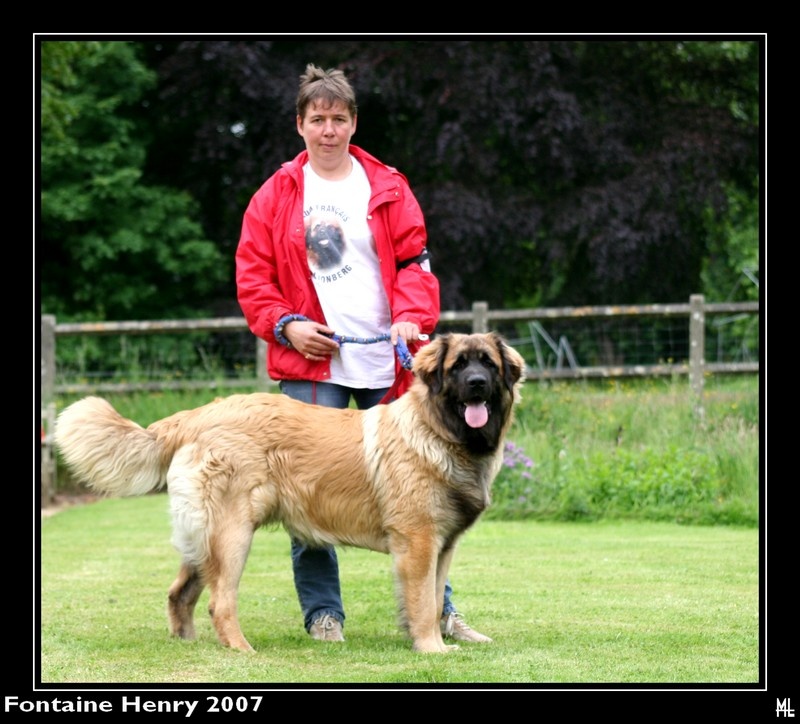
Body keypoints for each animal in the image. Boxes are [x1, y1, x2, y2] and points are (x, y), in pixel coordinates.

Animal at [54, 334, 524, 656]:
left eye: (488, 364)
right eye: (458, 366)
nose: (477, 384)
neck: (438, 432)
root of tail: (196, 415)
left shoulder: (441, 547)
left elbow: (435, 596)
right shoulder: (419, 542)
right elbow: (424, 602)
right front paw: (431, 649)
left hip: (200, 536)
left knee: (180, 592)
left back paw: (188, 643)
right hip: (232, 534)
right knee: (220, 601)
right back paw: (240, 649)